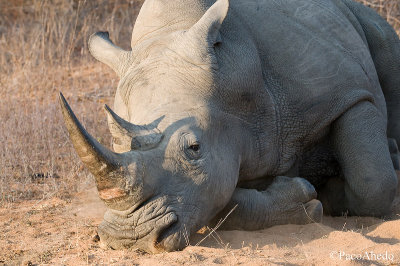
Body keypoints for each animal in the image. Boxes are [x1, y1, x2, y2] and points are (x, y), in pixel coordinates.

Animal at [60, 0, 400, 254]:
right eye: (115, 141)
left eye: (194, 148)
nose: (130, 238)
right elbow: (219, 199)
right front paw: (304, 198)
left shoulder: (347, 94)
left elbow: (374, 182)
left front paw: (331, 193)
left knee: (385, 44)